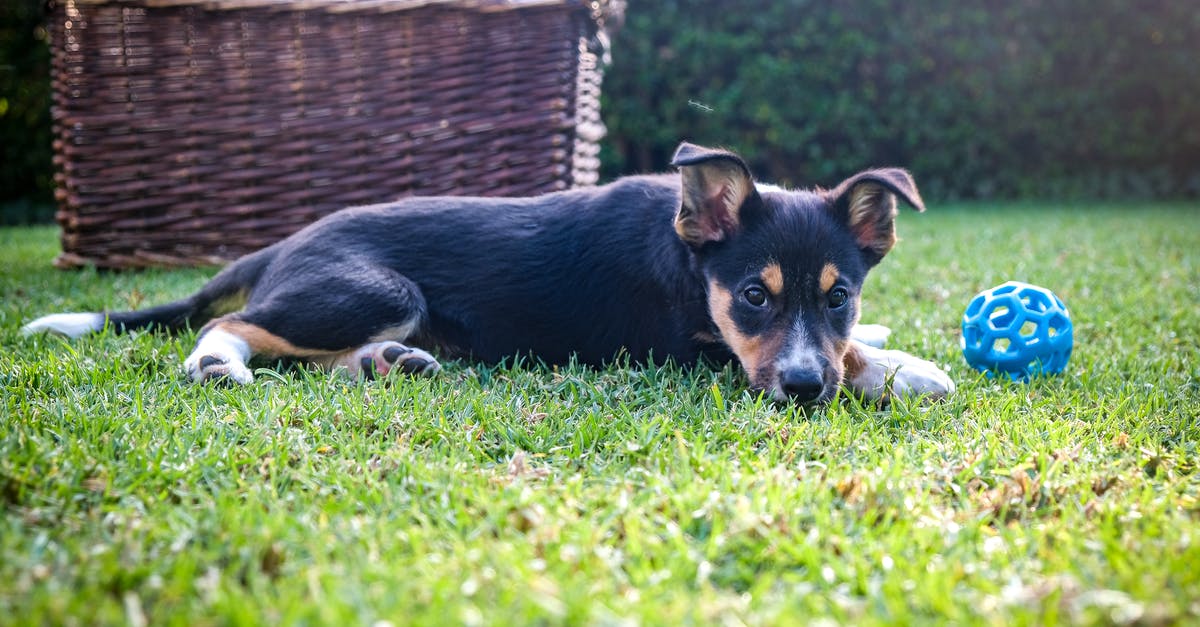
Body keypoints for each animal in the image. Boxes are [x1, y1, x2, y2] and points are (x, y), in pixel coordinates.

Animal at [23, 142, 950, 403]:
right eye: (754, 295)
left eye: (839, 294)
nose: (804, 388)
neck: (689, 260)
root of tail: (285, 242)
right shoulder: (686, 347)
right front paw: (902, 369)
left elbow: (852, 337)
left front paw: (882, 340)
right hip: (376, 287)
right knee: (234, 322)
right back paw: (217, 362)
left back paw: (392, 361)